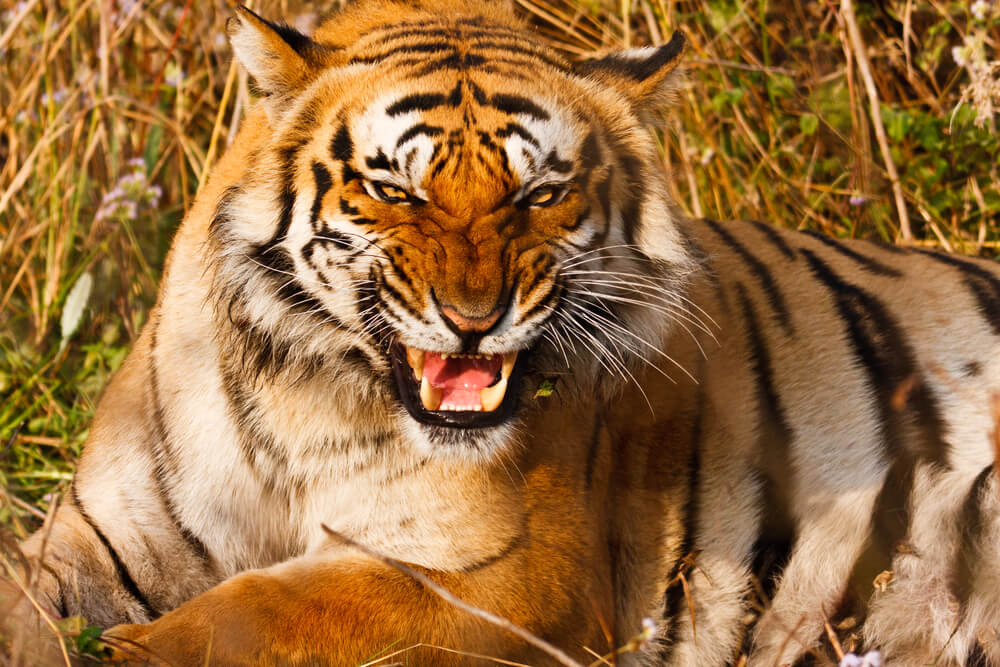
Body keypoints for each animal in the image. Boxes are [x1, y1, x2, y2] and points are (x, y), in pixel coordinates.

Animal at [7, 0, 1000, 664]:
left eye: (541, 193)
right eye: (393, 189)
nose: (474, 320)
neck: (303, 392)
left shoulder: (497, 574)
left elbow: (259, 612)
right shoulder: (97, 536)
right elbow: (23, 600)